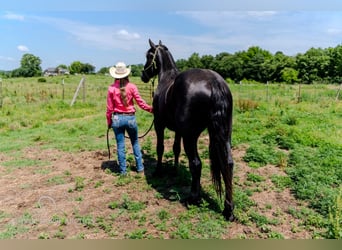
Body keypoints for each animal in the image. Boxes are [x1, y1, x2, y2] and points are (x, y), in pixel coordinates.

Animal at [140, 39, 234, 221]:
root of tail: (214, 82)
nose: (143, 75)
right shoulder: (178, 130)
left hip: (191, 136)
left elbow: (160, 148)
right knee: (228, 164)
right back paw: (229, 210)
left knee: (196, 163)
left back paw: (193, 198)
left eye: (148, 55)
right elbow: (175, 149)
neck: (166, 77)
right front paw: (175, 170)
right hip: (224, 135)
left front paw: (158, 171)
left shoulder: (159, 125)